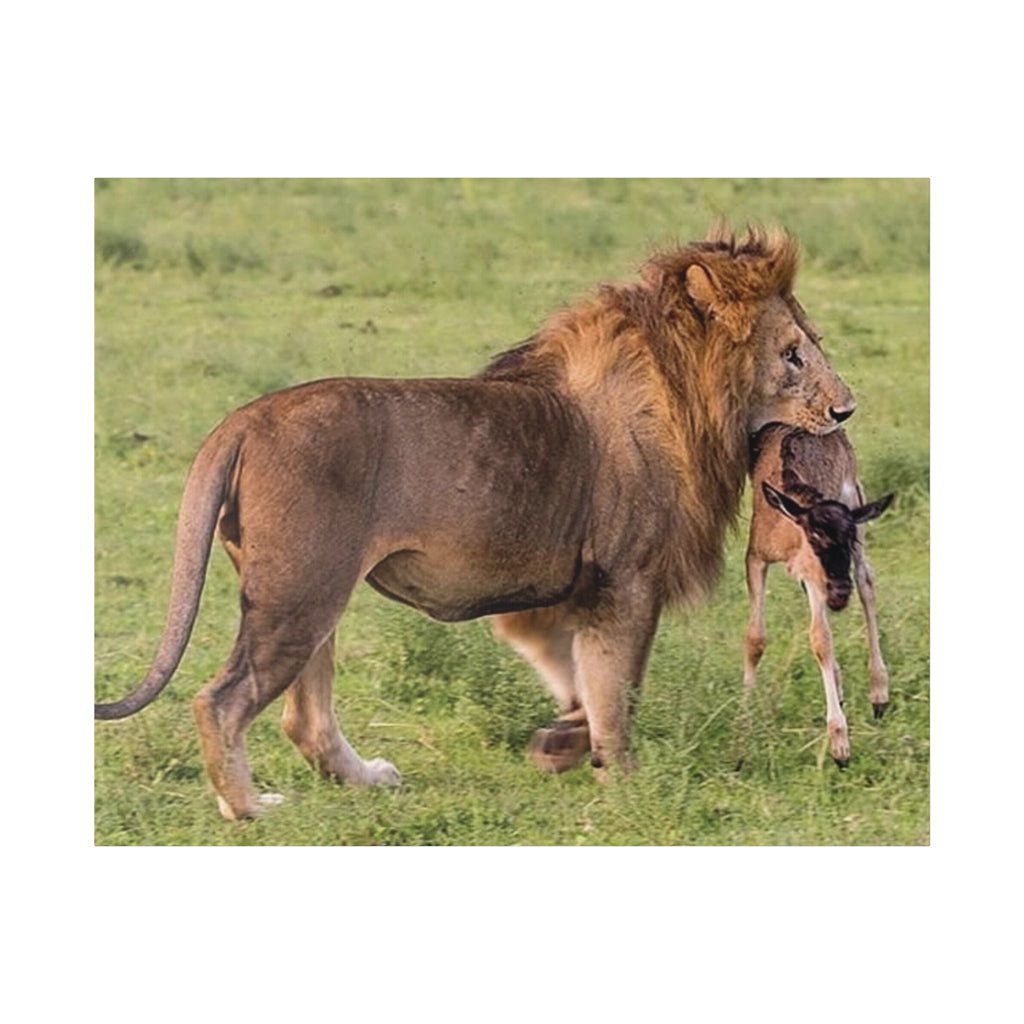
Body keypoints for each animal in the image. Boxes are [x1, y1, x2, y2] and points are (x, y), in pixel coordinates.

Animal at [95, 225, 856, 821]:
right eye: (792, 355)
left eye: (812, 343)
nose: (847, 408)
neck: (688, 397)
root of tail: (244, 419)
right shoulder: (626, 581)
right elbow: (617, 690)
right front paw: (627, 782)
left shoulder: (557, 595)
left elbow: (578, 680)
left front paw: (560, 746)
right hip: (298, 591)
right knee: (222, 701)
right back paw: (250, 807)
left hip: (313, 594)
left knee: (303, 718)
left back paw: (364, 780)